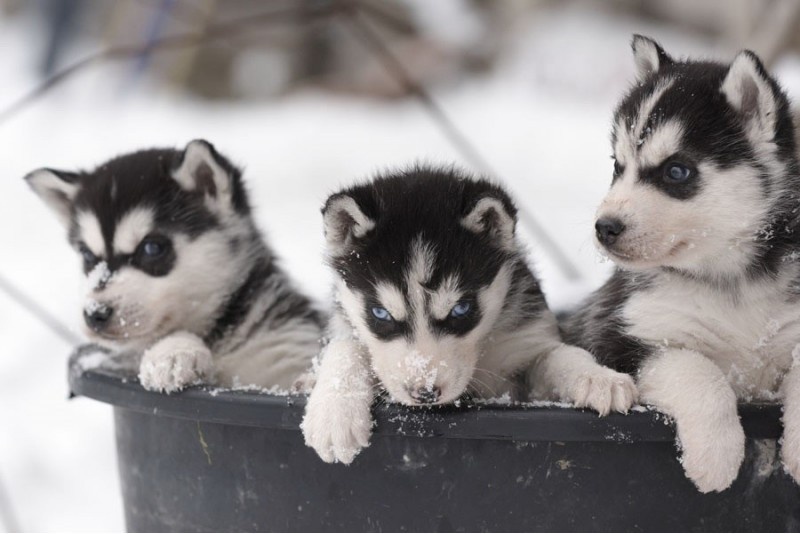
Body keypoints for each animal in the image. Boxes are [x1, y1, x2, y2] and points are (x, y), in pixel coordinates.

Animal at [26, 140, 324, 394]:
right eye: (87, 255)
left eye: (152, 248)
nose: (95, 314)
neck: (215, 336)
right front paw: (174, 352)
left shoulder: (287, 348)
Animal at [300, 168, 636, 464]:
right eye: (380, 313)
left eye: (461, 309)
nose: (425, 393)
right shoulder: (346, 324)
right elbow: (346, 347)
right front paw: (334, 415)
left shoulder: (525, 343)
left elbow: (560, 355)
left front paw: (598, 378)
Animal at [564, 34, 800, 494]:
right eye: (618, 165)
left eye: (676, 171)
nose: (605, 227)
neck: (730, 278)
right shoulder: (625, 334)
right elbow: (698, 370)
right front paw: (716, 458)